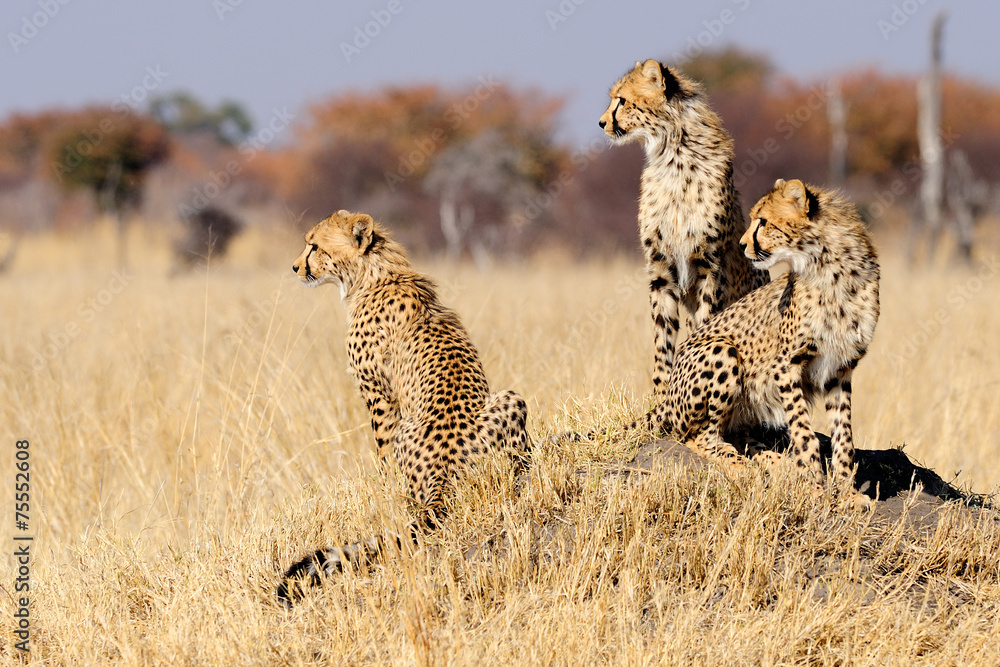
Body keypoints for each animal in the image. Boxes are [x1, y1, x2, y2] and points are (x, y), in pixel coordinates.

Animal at [277, 210, 530, 605]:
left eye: (314, 246)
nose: (294, 267)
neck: (375, 274)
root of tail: (444, 476)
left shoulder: (379, 394)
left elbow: (381, 457)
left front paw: (383, 491)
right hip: (510, 398)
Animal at [599, 59, 769, 401]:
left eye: (622, 100)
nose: (601, 123)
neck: (672, 155)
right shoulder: (660, 269)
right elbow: (662, 337)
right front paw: (661, 394)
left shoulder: (709, 267)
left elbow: (704, 324)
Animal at [644, 179, 880, 490]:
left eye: (764, 222)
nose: (742, 245)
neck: (830, 267)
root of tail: (667, 397)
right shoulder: (786, 364)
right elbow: (804, 430)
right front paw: (814, 484)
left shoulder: (840, 369)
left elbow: (844, 436)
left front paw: (846, 492)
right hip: (722, 350)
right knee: (696, 436)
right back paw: (741, 466)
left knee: (732, 433)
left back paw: (776, 462)